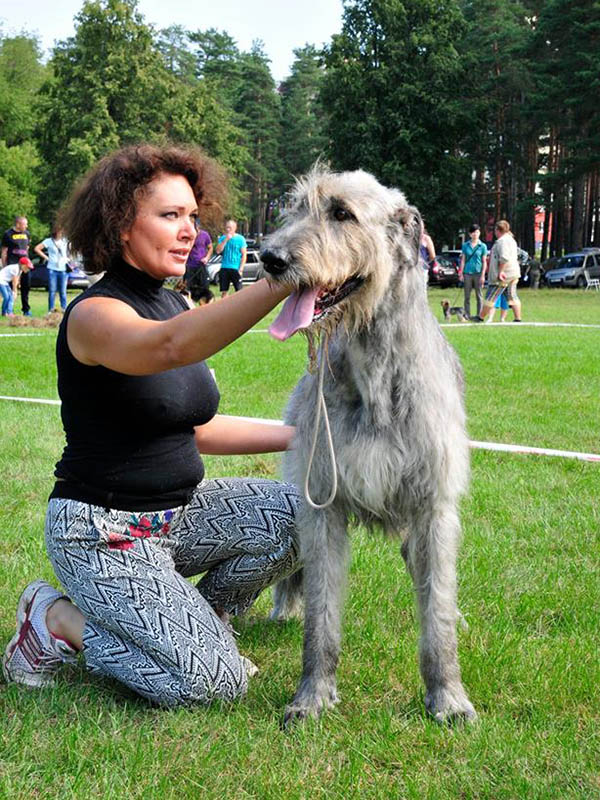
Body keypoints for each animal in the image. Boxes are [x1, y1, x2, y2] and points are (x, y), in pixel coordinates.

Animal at [260, 167, 476, 724]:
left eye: (343, 214)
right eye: (293, 208)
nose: (270, 258)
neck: (377, 373)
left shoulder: (434, 508)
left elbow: (436, 614)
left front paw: (448, 697)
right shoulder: (322, 504)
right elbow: (322, 616)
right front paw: (312, 696)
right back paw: (284, 606)